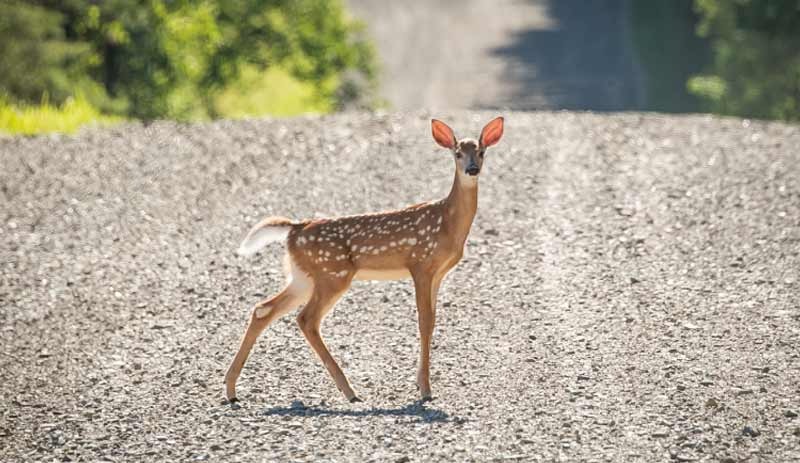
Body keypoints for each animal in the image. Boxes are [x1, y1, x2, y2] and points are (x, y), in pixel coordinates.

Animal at [223, 116, 506, 402]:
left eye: (481, 152)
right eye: (457, 153)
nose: (472, 169)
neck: (447, 223)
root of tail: (294, 229)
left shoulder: (438, 273)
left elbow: (433, 319)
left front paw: (420, 382)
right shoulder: (420, 264)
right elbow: (424, 321)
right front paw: (425, 389)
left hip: (303, 276)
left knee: (263, 309)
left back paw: (231, 388)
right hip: (332, 275)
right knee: (306, 319)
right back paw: (349, 391)